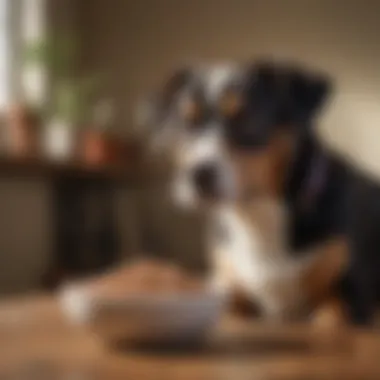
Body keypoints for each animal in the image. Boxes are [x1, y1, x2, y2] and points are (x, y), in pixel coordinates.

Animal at [141, 60, 380, 326]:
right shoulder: (229, 291)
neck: (256, 215)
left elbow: (328, 319)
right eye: (186, 124)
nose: (198, 174)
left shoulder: (349, 299)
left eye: (247, 118)